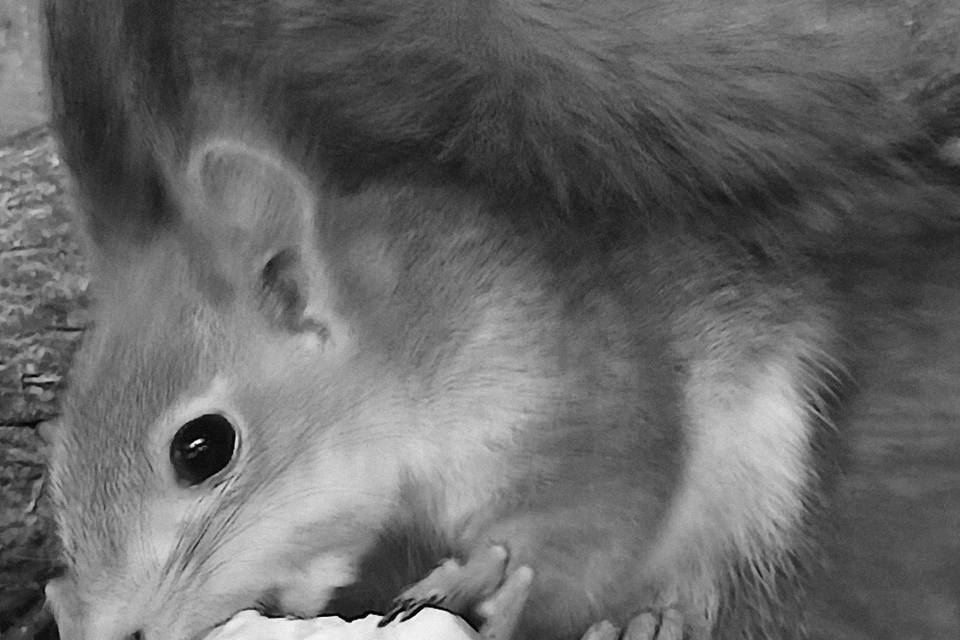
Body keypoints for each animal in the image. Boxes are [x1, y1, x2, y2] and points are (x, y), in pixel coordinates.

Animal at [39, 1, 958, 640]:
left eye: (203, 448)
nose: (109, 627)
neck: (406, 350)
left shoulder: (571, 379)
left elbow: (607, 511)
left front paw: (496, 578)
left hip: (761, 463)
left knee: (715, 558)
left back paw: (659, 615)